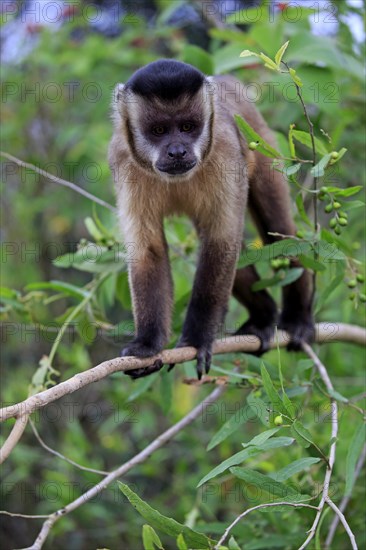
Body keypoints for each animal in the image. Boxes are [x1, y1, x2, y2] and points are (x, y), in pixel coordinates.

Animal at [107, 59, 314, 380]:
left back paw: (297, 318)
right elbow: (148, 250)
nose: (177, 151)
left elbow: (222, 242)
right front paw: (148, 345)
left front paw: (196, 341)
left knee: (278, 232)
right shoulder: (122, 159)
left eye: (188, 127)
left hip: (265, 146)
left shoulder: (226, 150)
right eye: (158, 130)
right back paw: (263, 318)